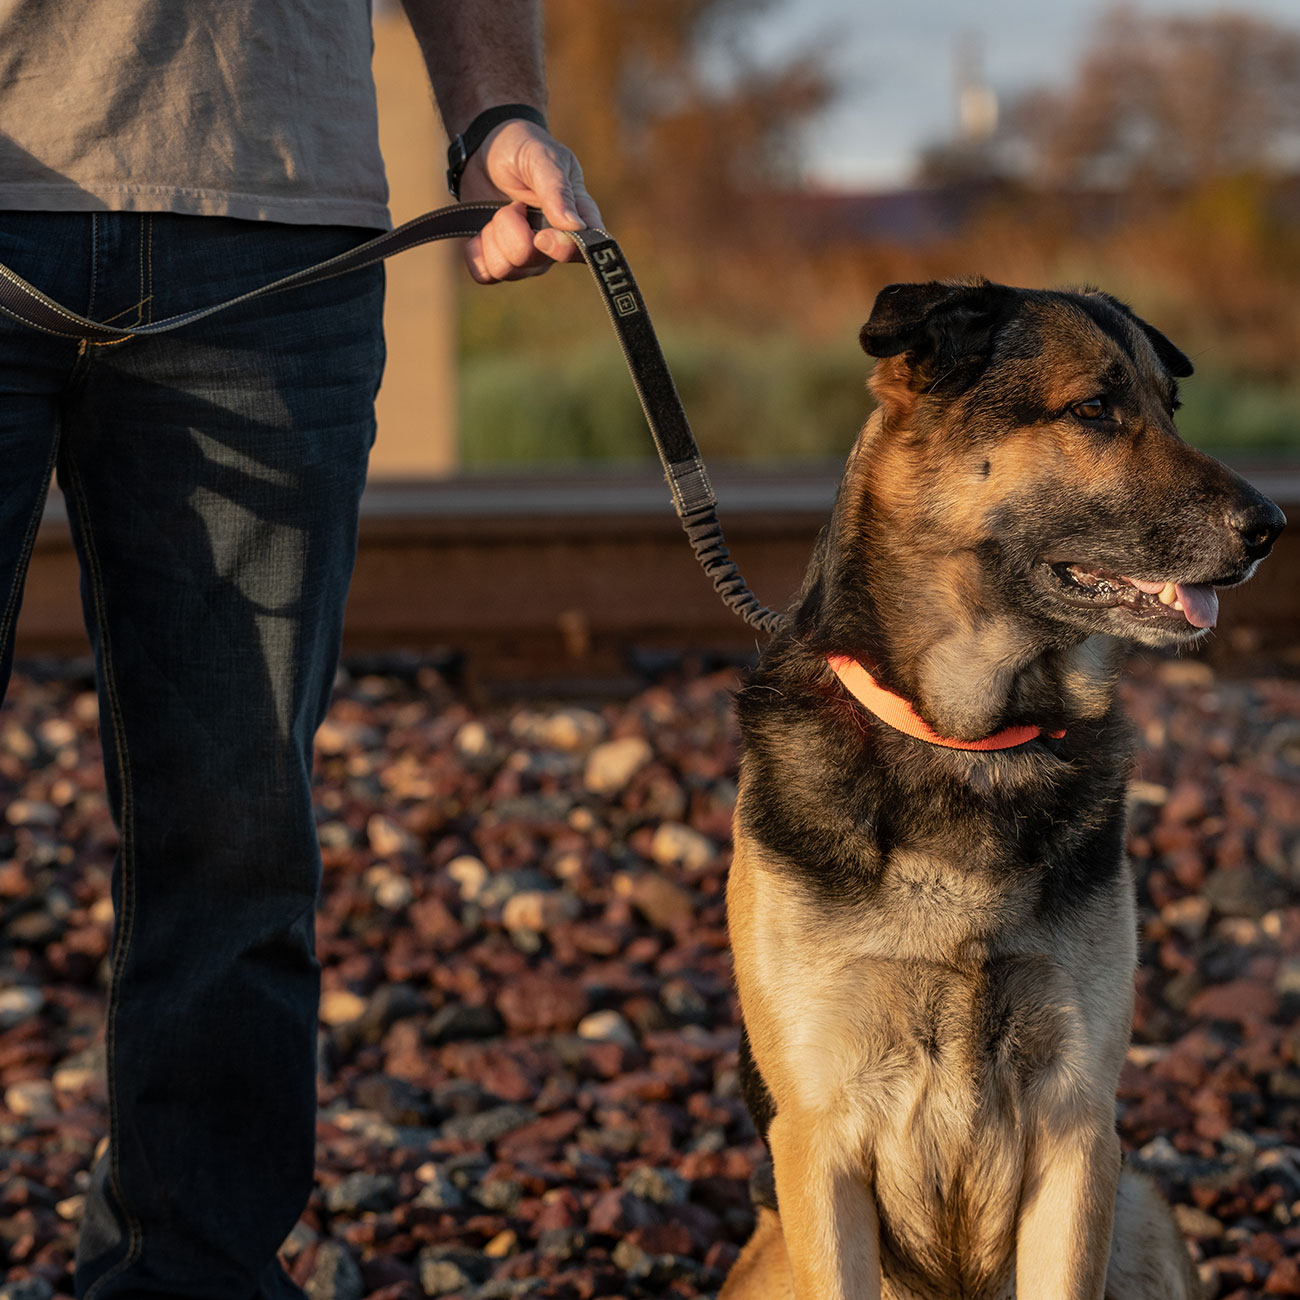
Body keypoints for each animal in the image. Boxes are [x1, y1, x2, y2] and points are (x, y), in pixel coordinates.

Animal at [719, 279, 1286, 1300]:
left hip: (1142, 1202)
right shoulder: (819, 1142)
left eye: (1168, 407)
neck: (970, 743)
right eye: (1093, 409)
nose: (1273, 528)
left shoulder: (1077, 1129)